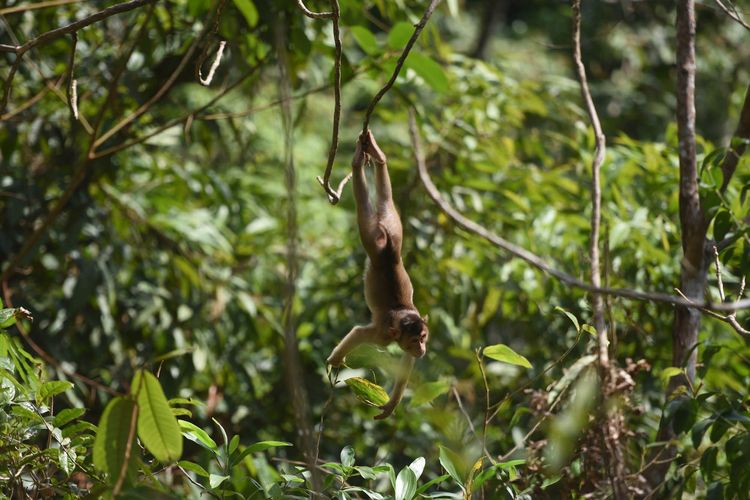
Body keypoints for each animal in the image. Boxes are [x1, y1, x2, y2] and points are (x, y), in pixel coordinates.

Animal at [328, 131, 428, 420]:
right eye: (416, 340)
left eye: (423, 338)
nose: (423, 349)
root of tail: (389, 251)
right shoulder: (382, 335)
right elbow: (360, 333)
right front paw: (334, 362)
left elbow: (407, 361)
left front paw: (391, 404)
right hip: (374, 239)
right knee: (365, 212)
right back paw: (357, 163)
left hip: (394, 228)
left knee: (385, 202)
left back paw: (377, 156)